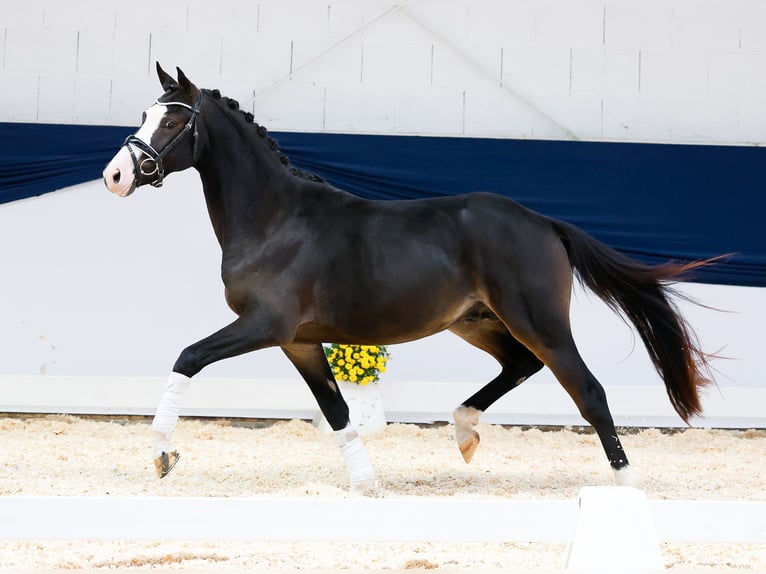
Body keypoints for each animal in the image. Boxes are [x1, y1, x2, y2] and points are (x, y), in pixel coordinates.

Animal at [102, 64, 712, 490]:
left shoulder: (265, 325)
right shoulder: (297, 340)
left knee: (587, 389)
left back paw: (625, 484)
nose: (115, 176)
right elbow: (336, 410)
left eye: (173, 119)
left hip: (537, 321)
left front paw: (162, 455)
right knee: (521, 365)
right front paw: (365, 483)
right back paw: (464, 433)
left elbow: (187, 357)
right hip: (477, 321)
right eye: (144, 115)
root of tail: (544, 223)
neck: (276, 218)